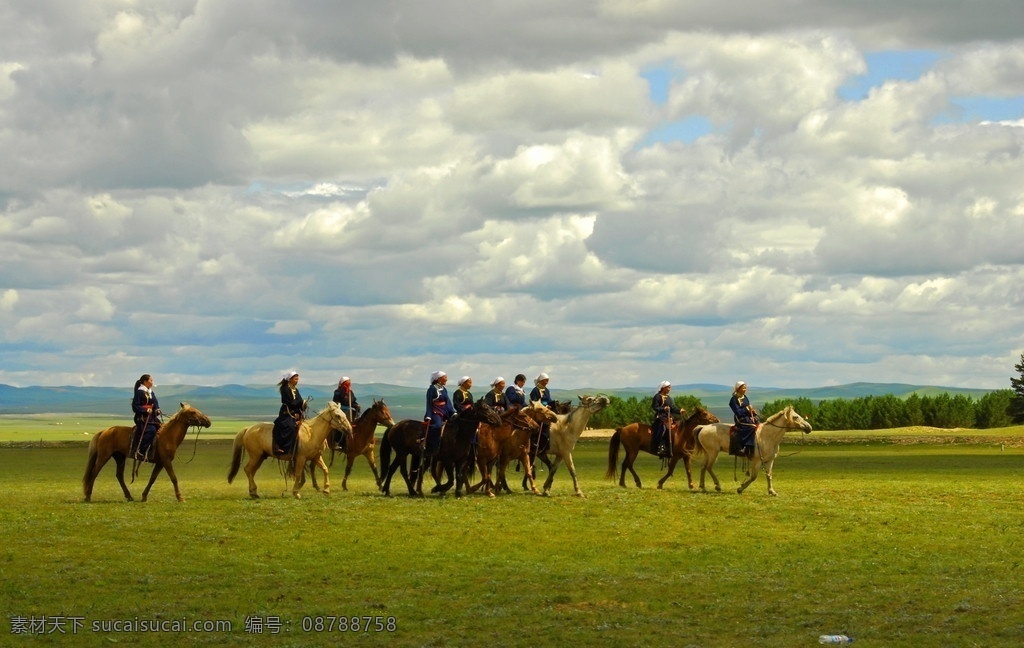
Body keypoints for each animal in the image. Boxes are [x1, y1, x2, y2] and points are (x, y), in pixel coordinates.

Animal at [82, 401, 212, 503]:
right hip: (104, 456)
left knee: (119, 475)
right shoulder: (166, 461)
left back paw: (129, 496)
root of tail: (104, 431)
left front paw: (144, 496)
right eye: (193, 412)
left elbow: (152, 479)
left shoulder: (160, 463)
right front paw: (180, 498)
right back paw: (88, 497)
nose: (208, 421)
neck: (168, 436)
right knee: (94, 473)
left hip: (120, 458)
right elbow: (174, 478)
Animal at [226, 399, 354, 499]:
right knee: (248, 470)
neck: (312, 433)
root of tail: (248, 428)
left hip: (261, 457)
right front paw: (296, 492)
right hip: (255, 455)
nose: (349, 429)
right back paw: (253, 492)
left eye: (344, 414)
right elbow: (298, 474)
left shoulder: (316, 457)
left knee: (251, 471)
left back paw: (253, 492)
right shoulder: (301, 458)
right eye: (338, 415)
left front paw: (326, 490)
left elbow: (325, 469)